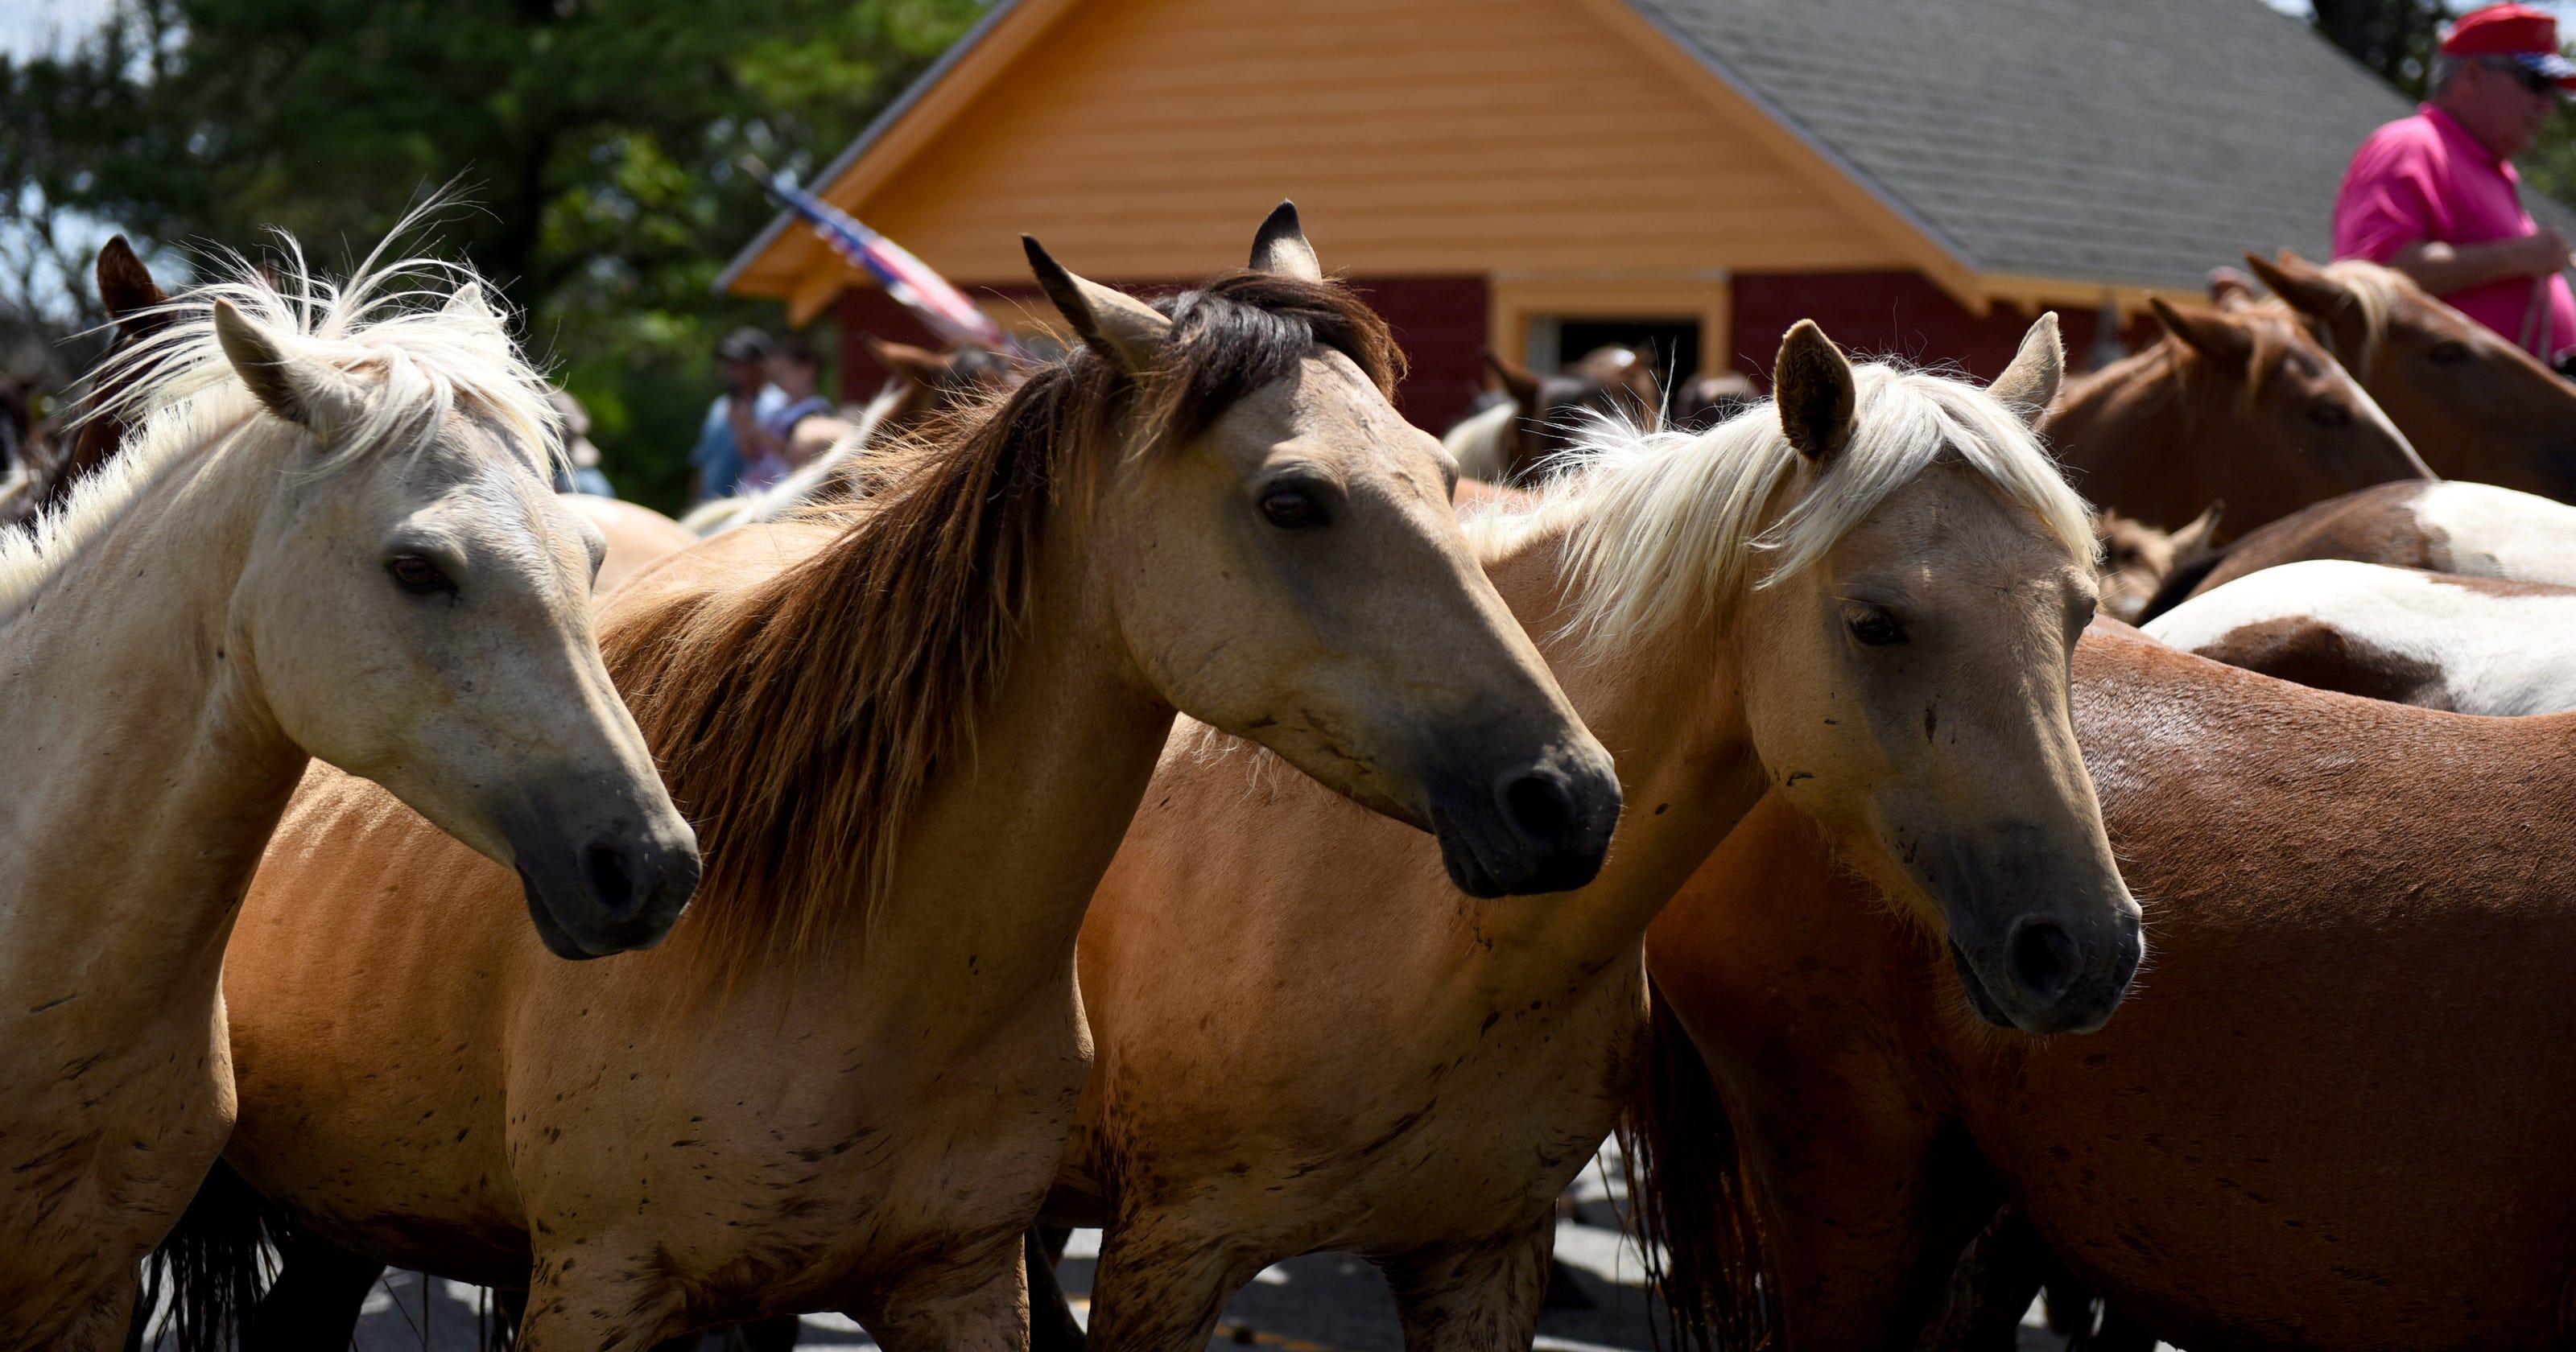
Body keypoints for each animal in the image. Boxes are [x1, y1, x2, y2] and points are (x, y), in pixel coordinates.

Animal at [161, 203, 1617, 1349]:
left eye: (1441, 474)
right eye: (1294, 502)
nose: (1568, 796)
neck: (843, 954)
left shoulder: (961, 1283)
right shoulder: (600, 1289)